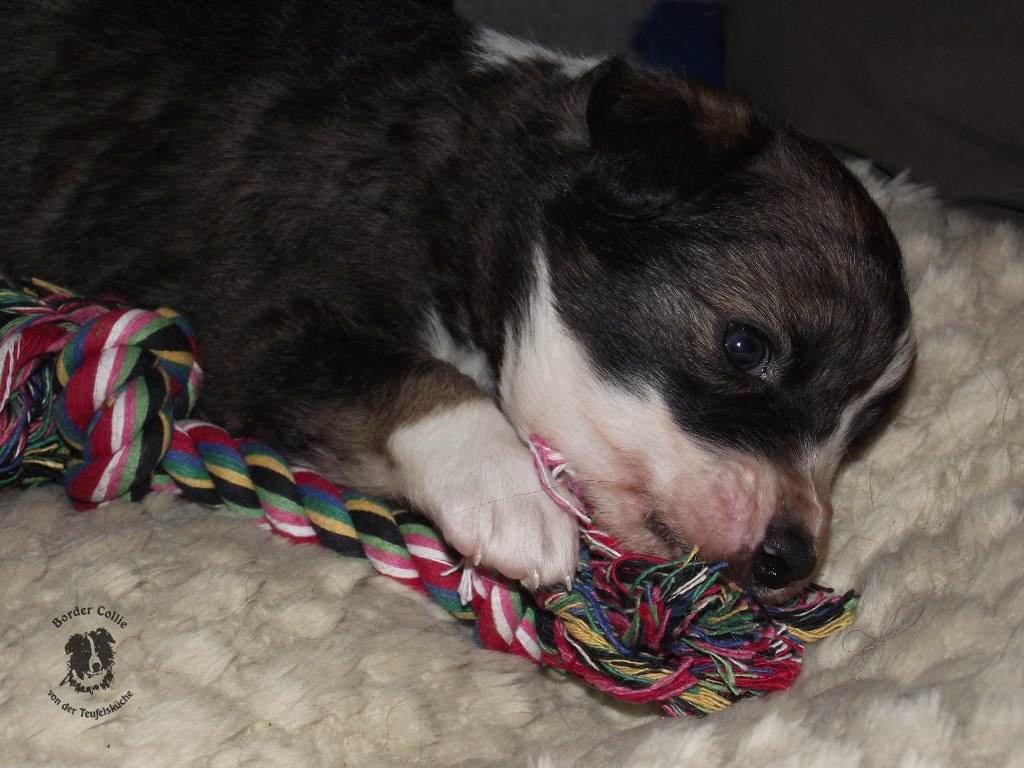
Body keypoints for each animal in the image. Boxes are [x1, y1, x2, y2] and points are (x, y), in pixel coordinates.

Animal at [0, 0, 914, 600]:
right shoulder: (243, 322)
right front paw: (514, 499)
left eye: (864, 431)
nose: (789, 562)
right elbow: (419, 378)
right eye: (745, 347)